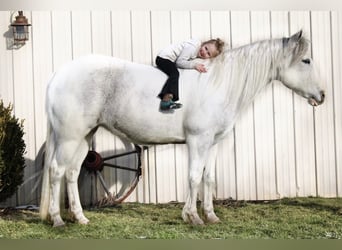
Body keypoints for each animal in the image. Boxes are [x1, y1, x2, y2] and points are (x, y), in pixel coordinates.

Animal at [39, 29, 324, 227]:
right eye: (306, 61)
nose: (321, 96)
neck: (219, 83)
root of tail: (59, 75)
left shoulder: (213, 143)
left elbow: (209, 178)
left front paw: (211, 216)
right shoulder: (198, 141)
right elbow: (194, 176)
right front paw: (192, 217)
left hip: (85, 136)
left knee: (72, 173)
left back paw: (80, 218)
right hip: (69, 137)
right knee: (56, 171)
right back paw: (58, 220)